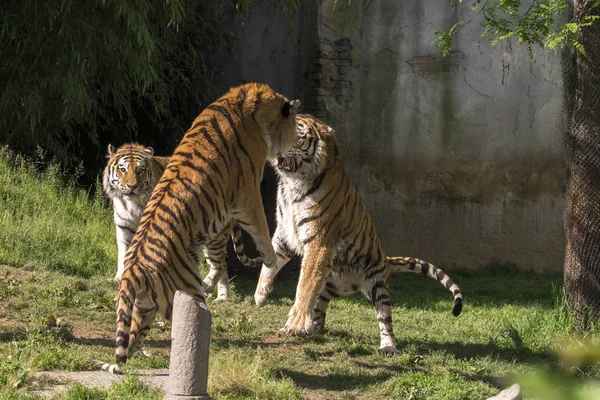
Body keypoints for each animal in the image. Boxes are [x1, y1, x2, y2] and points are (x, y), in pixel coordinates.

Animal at [102, 142, 260, 296]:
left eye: (141, 170)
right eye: (123, 169)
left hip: (214, 235)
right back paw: (221, 297)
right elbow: (123, 254)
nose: (132, 186)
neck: (132, 204)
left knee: (219, 264)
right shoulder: (124, 227)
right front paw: (119, 278)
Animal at [251, 114, 462, 354]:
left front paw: (294, 324)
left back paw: (388, 346)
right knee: (320, 304)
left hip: (376, 284)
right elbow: (270, 265)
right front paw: (260, 295)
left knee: (384, 318)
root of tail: (386, 259)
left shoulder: (318, 242)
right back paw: (311, 328)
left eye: (298, 136)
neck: (292, 183)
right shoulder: (285, 234)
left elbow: (304, 287)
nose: (277, 151)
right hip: (333, 285)